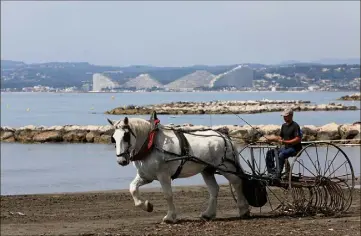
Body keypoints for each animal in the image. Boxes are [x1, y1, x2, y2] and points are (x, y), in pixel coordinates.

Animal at [105, 115, 249, 223]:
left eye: (126, 136)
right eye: (113, 138)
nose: (121, 161)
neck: (151, 145)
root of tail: (224, 136)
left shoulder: (163, 176)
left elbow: (168, 195)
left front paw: (170, 217)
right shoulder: (146, 176)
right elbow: (133, 188)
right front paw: (146, 206)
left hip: (225, 167)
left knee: (237, 182)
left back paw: (243, 210)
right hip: (207, 170)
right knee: (214, 189)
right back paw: (208, 214)